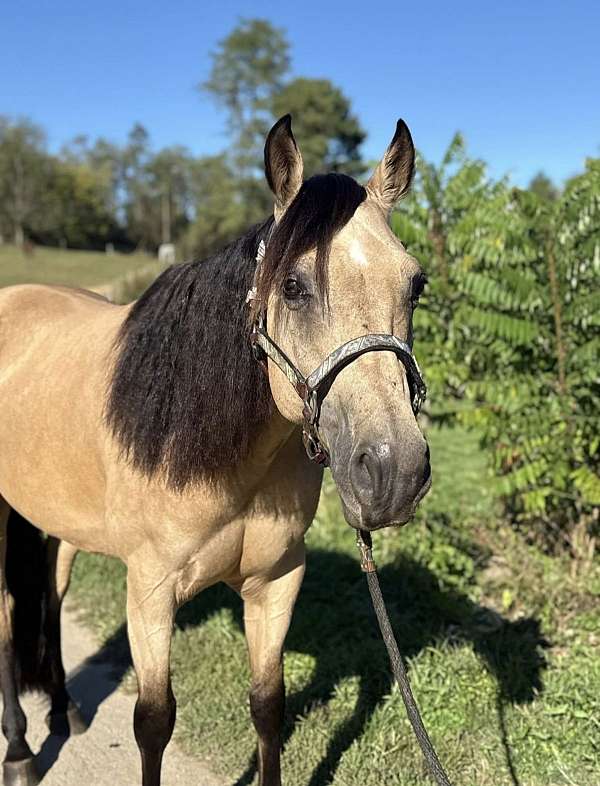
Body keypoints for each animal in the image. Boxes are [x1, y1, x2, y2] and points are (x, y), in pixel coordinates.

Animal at [0, 115, 431, 786]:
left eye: (416, 285)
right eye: (293, 286)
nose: (394, 472)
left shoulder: (276, 581)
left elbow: (269, 706)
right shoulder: (149, 593)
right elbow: (154, 723)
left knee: (47, 596)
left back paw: (63, 713)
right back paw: (20, 750)